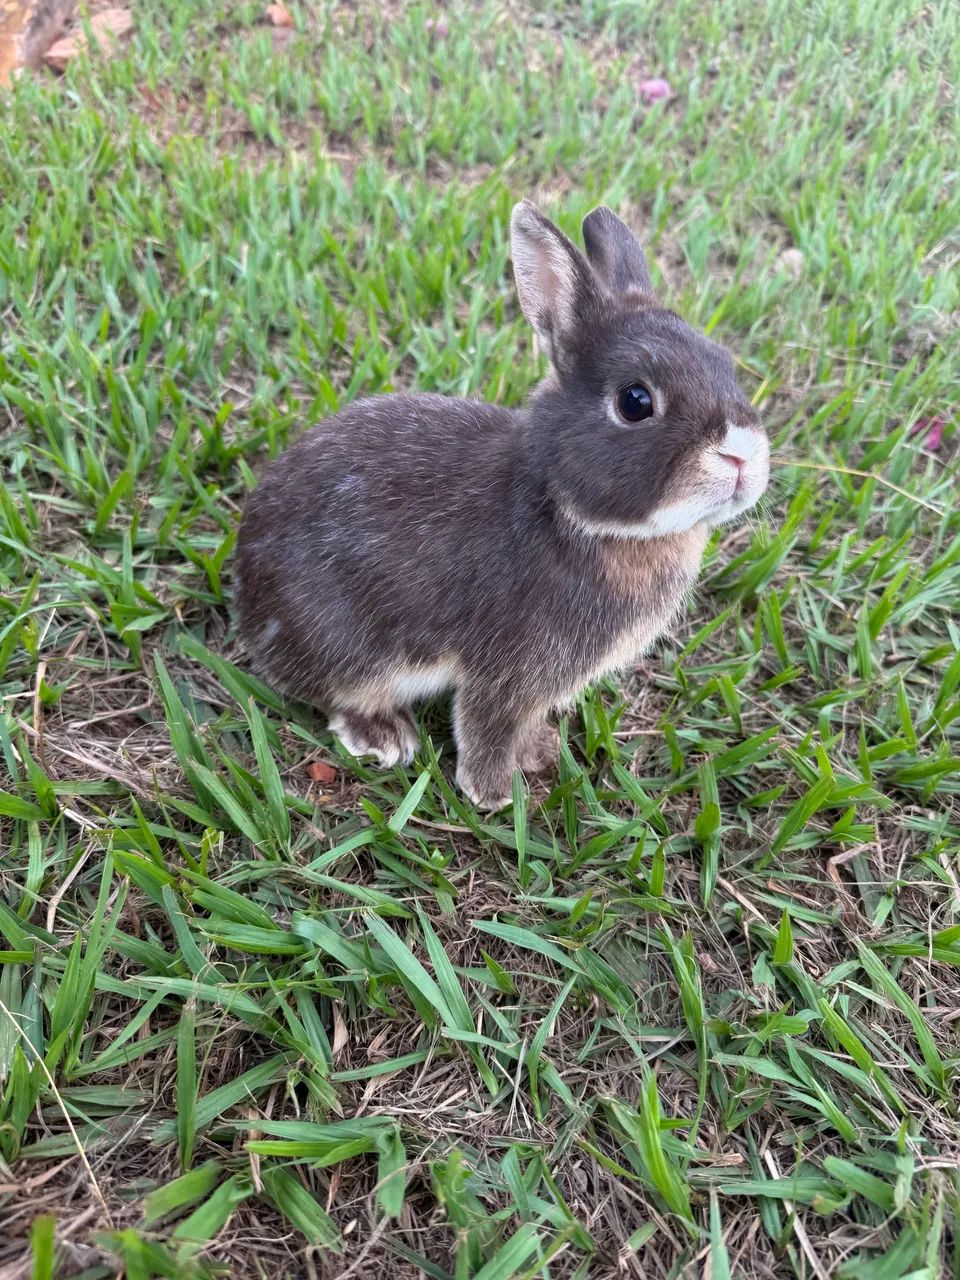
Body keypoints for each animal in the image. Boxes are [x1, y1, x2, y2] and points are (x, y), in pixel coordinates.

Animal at [235, 200, 769, 810]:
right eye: (635, 401)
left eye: (725, 362)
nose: (743, 454)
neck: (568, 510)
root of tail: (245, 586)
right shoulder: (508, 670)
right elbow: (488, 722)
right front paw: (493, 794)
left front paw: (538, 752)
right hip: (349, 648)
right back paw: (385, 736)